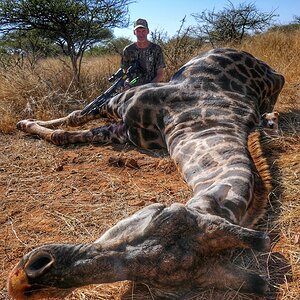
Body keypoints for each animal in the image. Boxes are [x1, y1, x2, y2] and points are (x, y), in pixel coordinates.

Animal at [8, 48, 284, 298]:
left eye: (152, 283)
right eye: (161, 215)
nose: (22, 282)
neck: (195, 121)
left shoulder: (122, 126)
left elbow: (67, 131)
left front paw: (28, 123)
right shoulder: (121, 105)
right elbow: (72, 120)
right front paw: (25, 122)